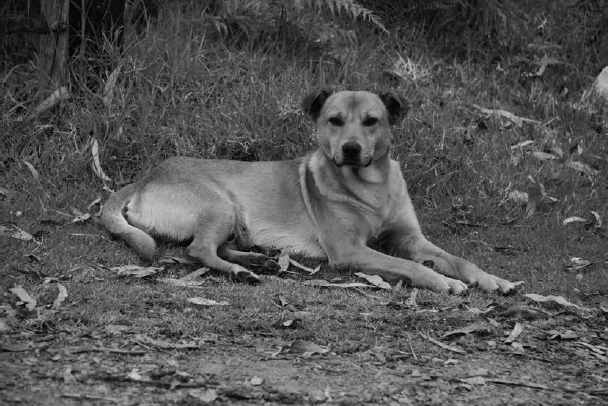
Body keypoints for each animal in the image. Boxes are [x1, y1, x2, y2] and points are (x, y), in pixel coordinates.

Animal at [102, 89, 516, 294]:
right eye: (334, 120)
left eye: (372, 121)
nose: (351, 149)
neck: (372, 189)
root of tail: (146, 177)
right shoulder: (349, 250)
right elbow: (410, 266)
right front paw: (443, 281)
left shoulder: (412, 238)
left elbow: (458, 259)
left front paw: (489, 278)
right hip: (221, 205)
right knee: (198, 249)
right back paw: (240, 271)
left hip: (233, 219)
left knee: (212, 246)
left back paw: (256, 261)